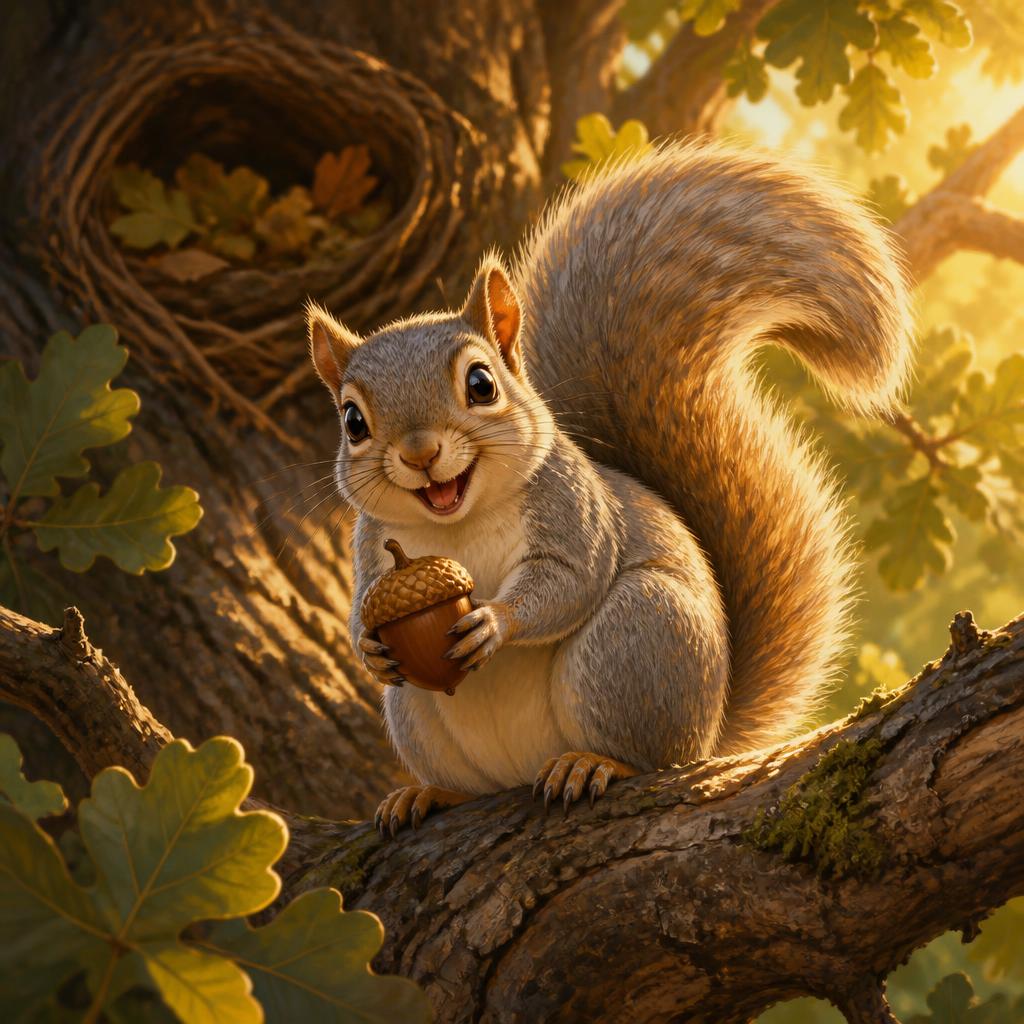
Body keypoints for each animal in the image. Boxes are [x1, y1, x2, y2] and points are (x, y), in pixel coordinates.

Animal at [307, 140, 913, 837]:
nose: (420, 453)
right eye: (353, 421)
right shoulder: (372, 542)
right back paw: (430, 795)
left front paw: (495, 620)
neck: (454, 521)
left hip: (635, 640)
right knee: (465, 775)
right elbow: (361, 604)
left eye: (481, 384)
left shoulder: (575, 506)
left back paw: (593, 764)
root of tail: (707, 733)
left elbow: (570, 580)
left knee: (643, 753)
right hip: (416, 714)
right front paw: (369, 646)